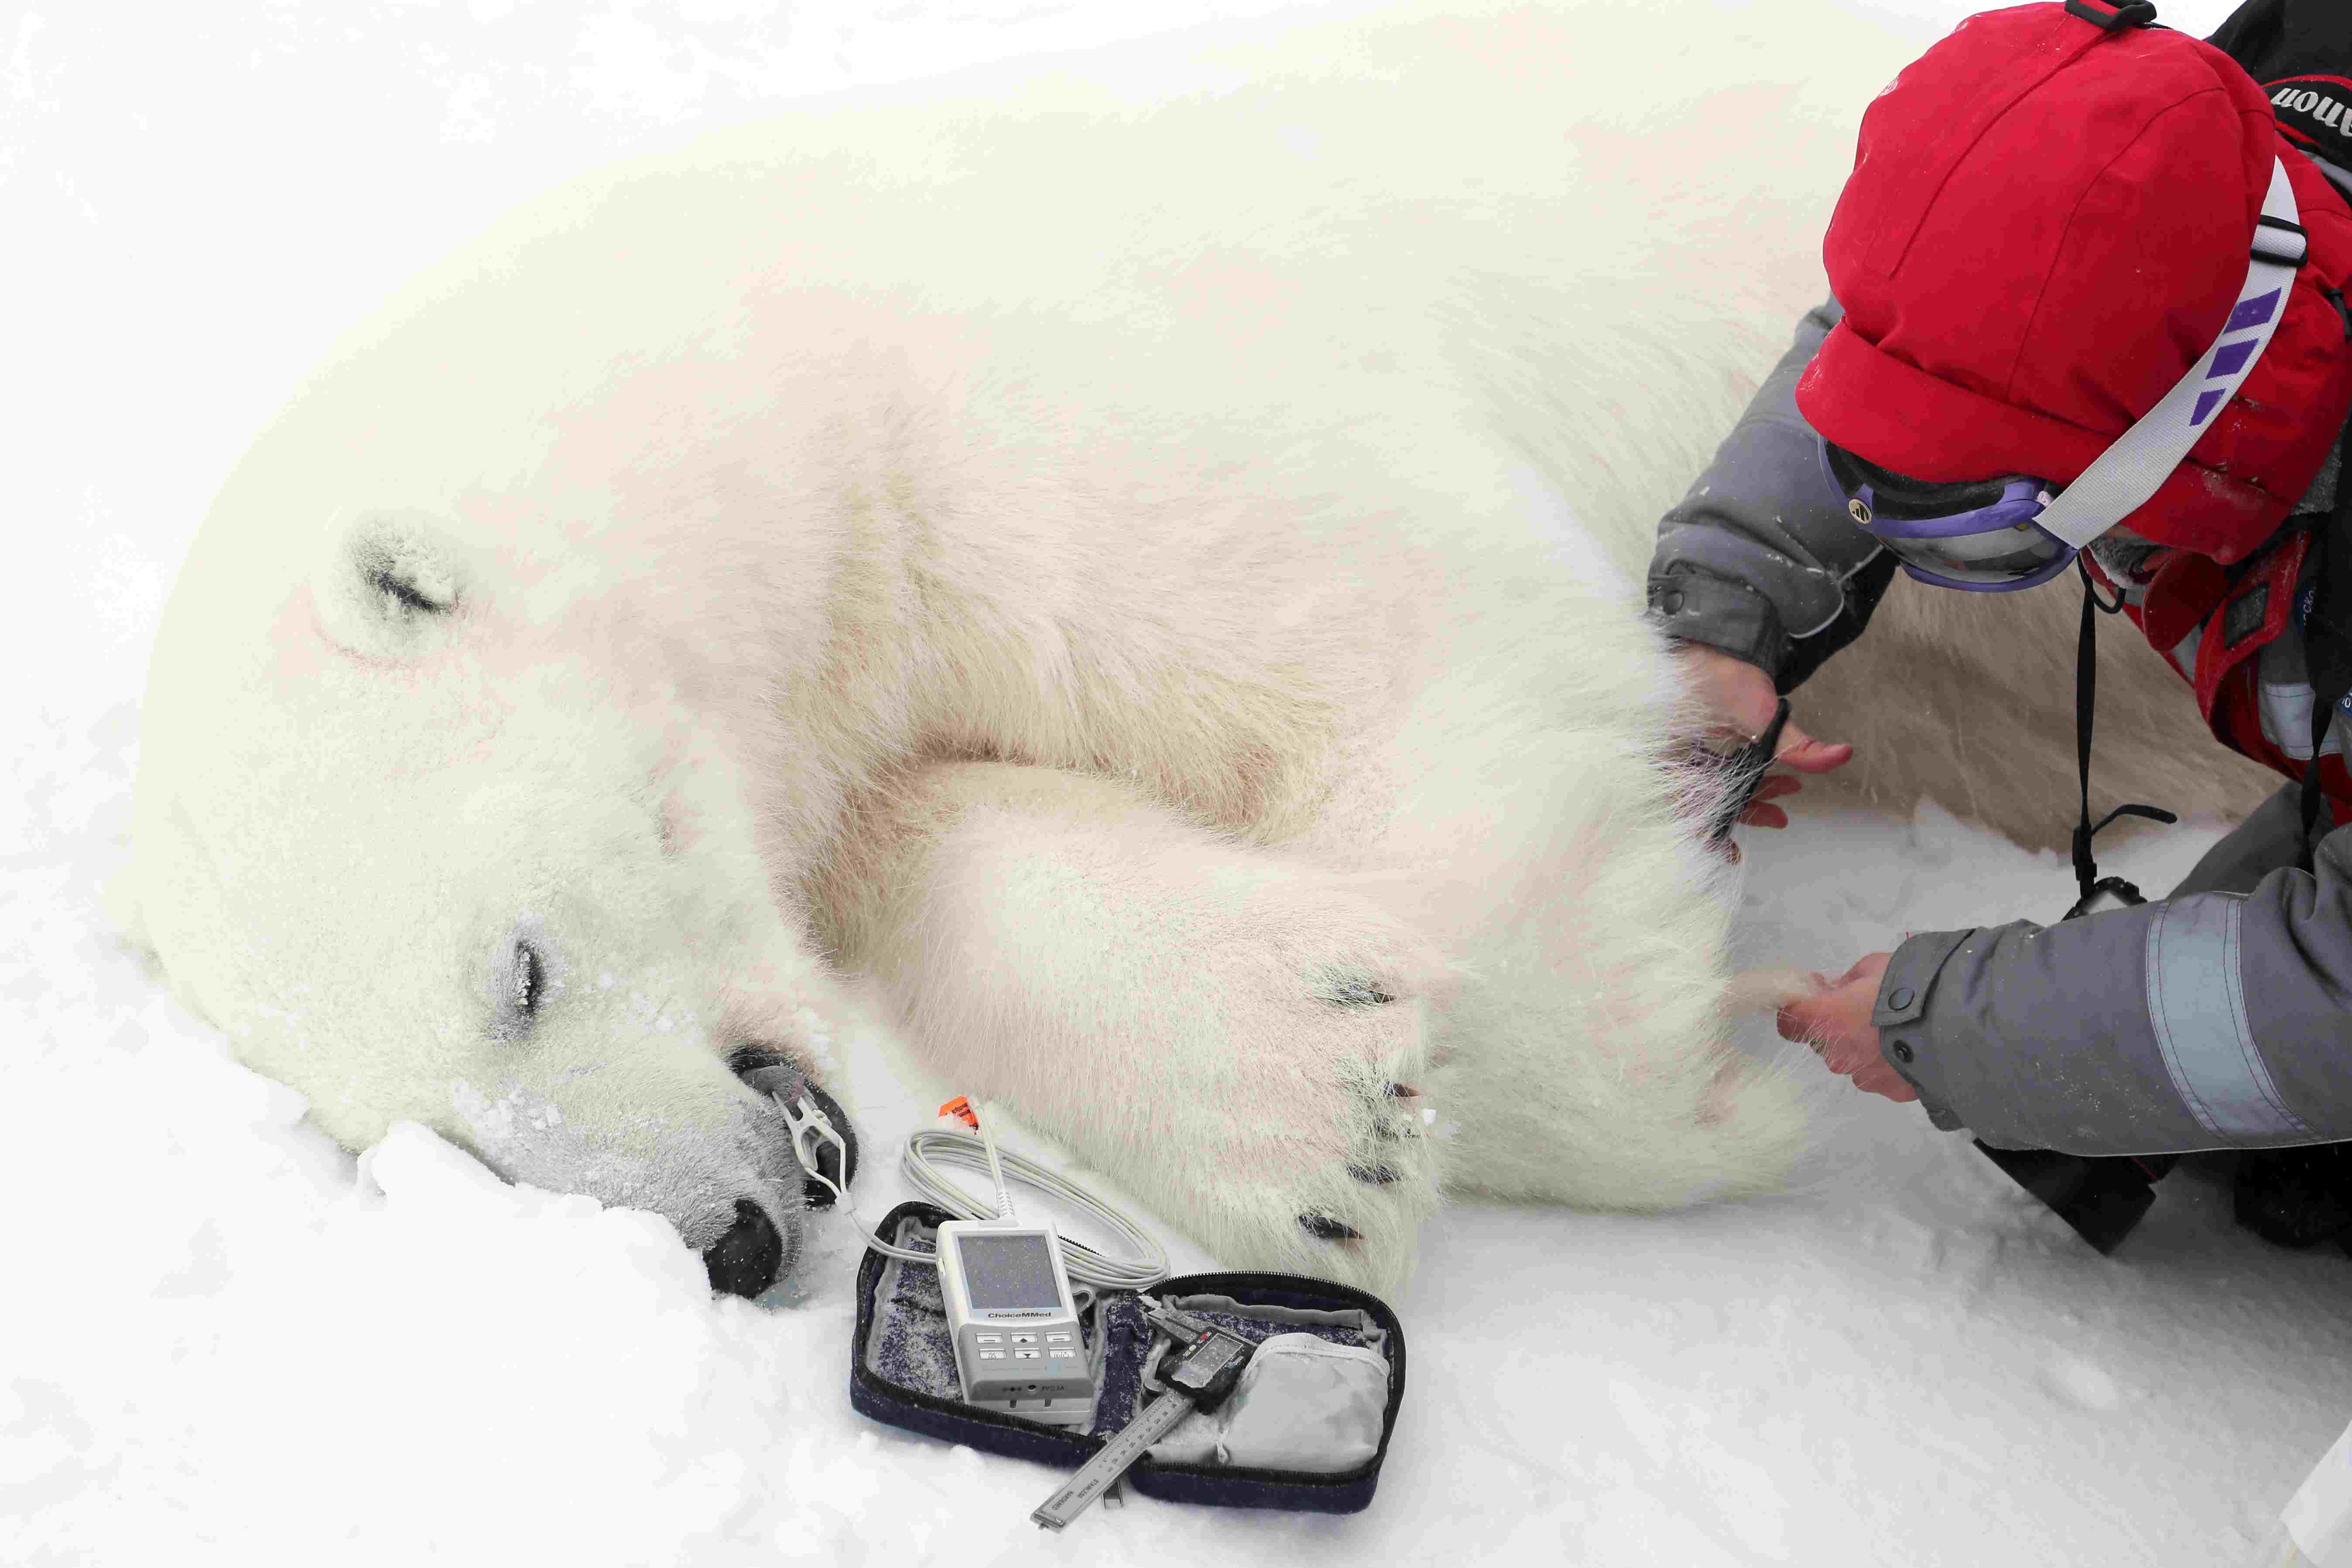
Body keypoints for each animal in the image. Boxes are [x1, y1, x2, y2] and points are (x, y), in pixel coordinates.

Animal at [124, 0, 2258, 1298]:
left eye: (519, 968)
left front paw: (1664, 1093)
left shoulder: (1053, 390)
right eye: (429, 1140)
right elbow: (948, 832)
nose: (729, 1230)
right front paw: (1321, 1111)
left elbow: (1412, 651)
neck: (771, 363)